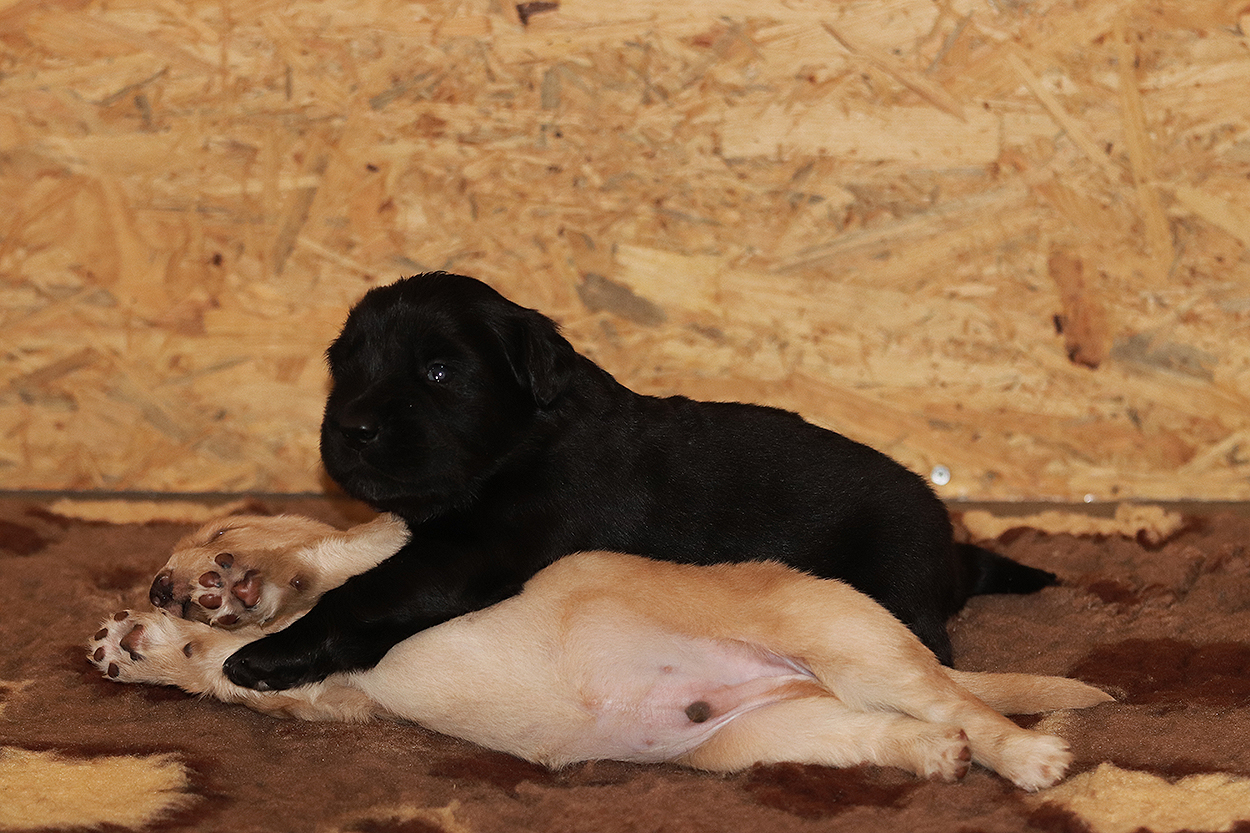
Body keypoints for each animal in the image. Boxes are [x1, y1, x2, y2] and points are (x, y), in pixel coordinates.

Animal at [218, 272, 1056, 691]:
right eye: (344, 363)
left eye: (438, 372)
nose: (351, 425)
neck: (528, 436)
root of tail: (953, 547)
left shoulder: (470, 554)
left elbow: (363, 594)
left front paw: (273, 653)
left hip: (894, 582)